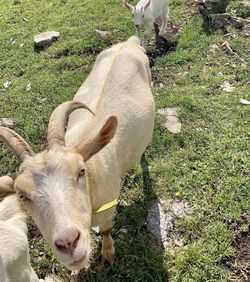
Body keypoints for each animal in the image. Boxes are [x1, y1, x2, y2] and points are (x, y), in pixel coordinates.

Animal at [0, 35, 154, 270]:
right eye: (21, 195)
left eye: (81, 171)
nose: (68, 242)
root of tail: (129, 42)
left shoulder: (109, 207)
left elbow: (107, 230)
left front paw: (108, 255)